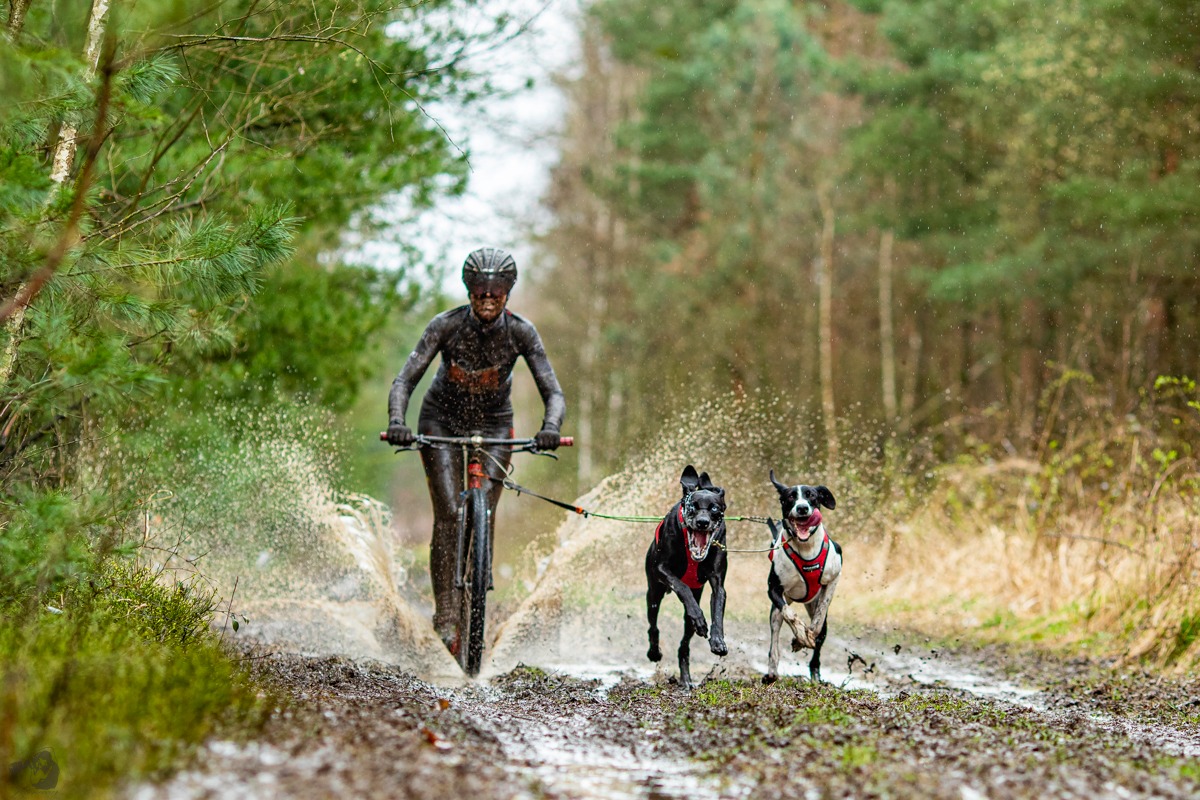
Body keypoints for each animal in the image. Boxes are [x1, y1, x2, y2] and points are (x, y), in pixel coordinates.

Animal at [648, 465, 729, 690]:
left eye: (714, 509)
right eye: (692, 506)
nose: (702, 522)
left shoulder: (718, 583)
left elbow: (717, 610)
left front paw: (717, 640)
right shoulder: (661, 568)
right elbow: (681, 586)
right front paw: (700, 618)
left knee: (684, 644)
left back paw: (685, 678)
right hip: (653, 593)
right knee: (653, 626)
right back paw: (654, 651)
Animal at [763, 472, 840, 686]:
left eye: (811, 495)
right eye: (790, 497)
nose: (802, 508)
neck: (806, 548)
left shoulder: (834, 577)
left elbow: (819, 617)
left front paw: (807, 634)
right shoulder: (773, 589)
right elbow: (790, 615)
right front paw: (800, 635)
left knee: (820, 639)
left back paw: (816, 674)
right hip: (776, 612)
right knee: (775, 639)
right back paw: (772, 672)